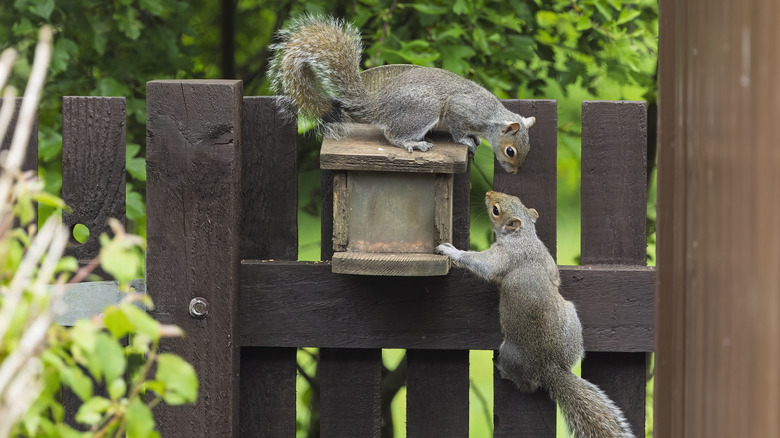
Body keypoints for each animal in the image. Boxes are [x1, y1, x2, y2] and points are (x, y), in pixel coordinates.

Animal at [267, 15, 536, 174]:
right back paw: (412, 143)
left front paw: (477, 140)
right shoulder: (462, 109)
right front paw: (467, 141)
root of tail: (379, 105)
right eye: (510, 151)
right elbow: (459, 128)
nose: (513, 172)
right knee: (392, 135)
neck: (492, 117)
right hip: (423, 109)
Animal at [436, 191, 635, 438]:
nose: (488, 194)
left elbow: (484, 265)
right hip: (571, 321)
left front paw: (451, 251)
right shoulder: (546, 257)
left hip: (511, 354)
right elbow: (555, 275)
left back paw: (504, 371)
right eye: (515, 198)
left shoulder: (503, 255)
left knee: (526, 385)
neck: (524, 237)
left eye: (496, 210)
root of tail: (550, 368)